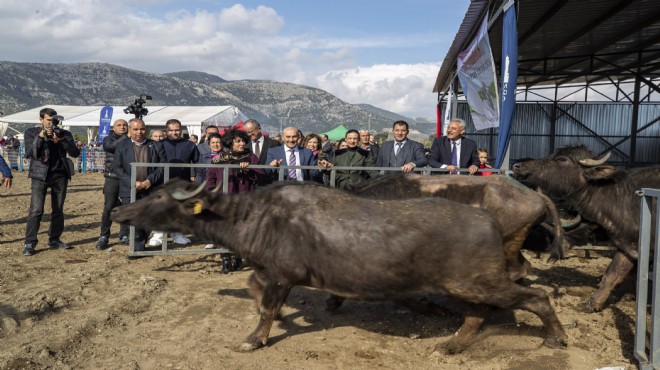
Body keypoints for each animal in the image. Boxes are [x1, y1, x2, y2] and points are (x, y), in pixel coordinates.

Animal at [112, 181, 568, 354]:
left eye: (159, 197)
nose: (119, 210)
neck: (253, 217)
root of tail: (487, 219)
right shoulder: (270, 273)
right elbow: (256, 291)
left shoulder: (280, 275)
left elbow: (266, 308)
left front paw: (254, 339)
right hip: (465, 285)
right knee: (476, 315)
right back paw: (451, 344)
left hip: (477, 281)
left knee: (535, 295)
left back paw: (556, 337)